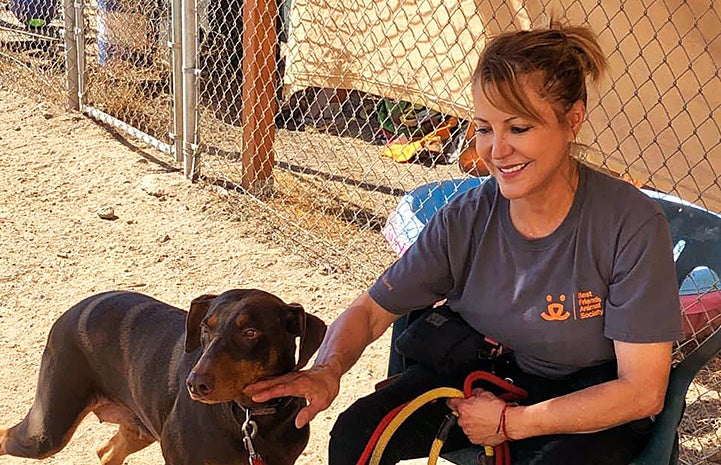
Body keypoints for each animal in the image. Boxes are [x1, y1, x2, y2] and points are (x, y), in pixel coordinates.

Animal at [0, 288, 326, 464]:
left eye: (251, 332)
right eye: (206, 327)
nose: (195, 385)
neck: (250, 417)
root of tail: (75, 309)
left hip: (139, 428)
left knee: (106, 452)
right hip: (46, 431)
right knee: (6, 436)